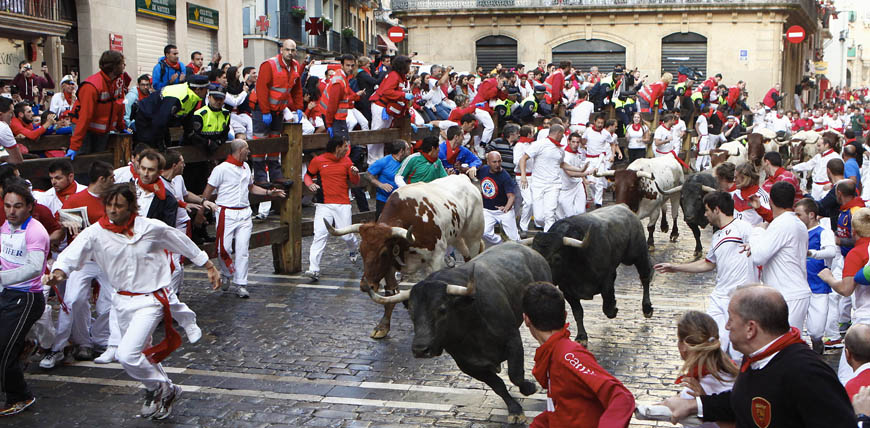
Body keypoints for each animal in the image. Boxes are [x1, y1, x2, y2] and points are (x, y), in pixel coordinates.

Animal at [326, 174, 488, 338]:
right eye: (361, 251)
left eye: (383, 252)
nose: (366, 286)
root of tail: (463, 177)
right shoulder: (390, 266)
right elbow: (390, 294)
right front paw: (382, 326)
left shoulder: (436, 259)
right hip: (456, 236)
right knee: (466, 253)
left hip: (473, 235)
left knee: (473, 251)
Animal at [368, 242, 552, 422]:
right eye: (411, 312)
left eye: (442, 309)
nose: (420, 350)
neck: (471, 327)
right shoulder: (467, 364)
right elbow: (498, 385)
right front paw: (514, 409)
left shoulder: (513, 340)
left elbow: (515, 374)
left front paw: (529, 388)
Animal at [524, 204, 656, 344]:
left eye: (557, 258)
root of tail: (625, 208)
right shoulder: (567, 290)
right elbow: (578, 312)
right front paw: (581, 336)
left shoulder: (606, 280)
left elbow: (607, 306)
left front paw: (614, 308)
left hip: (636, 255)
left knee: (645, 276)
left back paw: (647, 308)